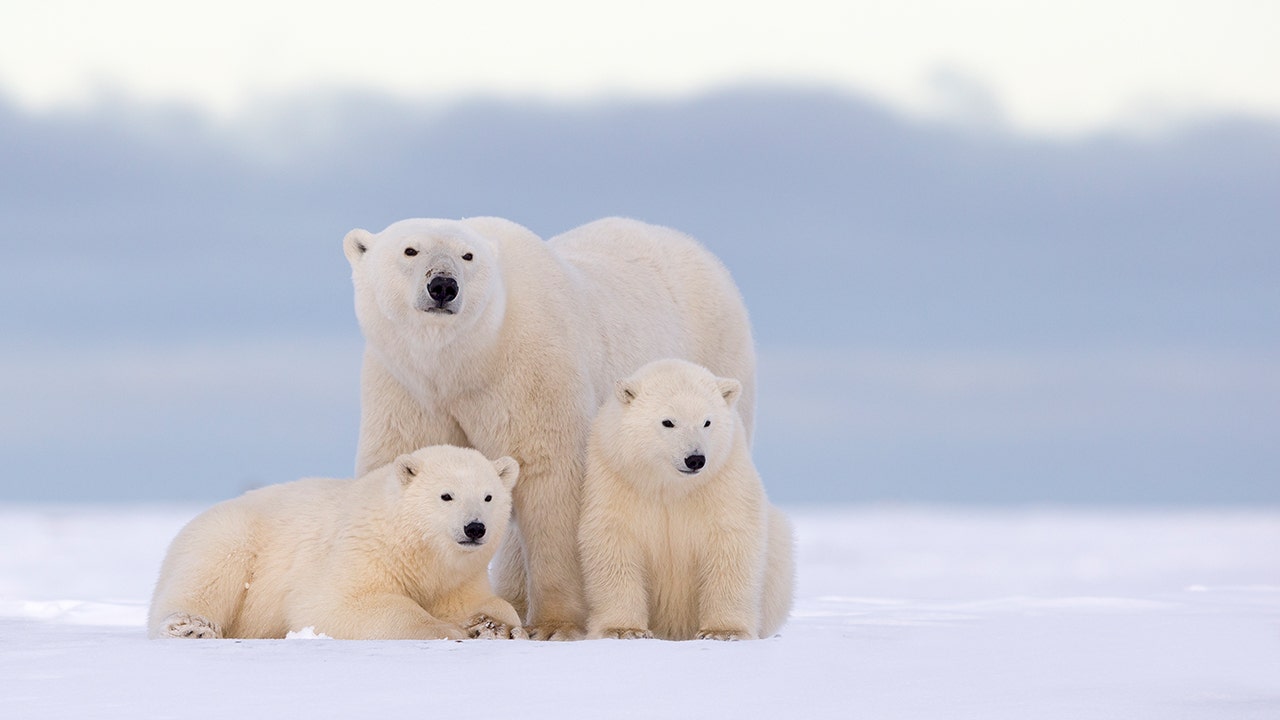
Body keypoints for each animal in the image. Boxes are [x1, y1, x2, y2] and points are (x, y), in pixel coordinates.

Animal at [148, 443, 524, 638]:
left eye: (488, 496)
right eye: (446, 495)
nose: (475, 528)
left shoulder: (457, 577)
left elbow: (479, 603)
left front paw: (492, 625)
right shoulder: (362, 550)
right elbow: (336, 603)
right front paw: (445, 630)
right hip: (228, 536)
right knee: (207, 575)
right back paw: (190, 626)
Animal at [345, 215, 752, 635]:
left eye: (467, 255)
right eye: (410, 250)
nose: (443, 285)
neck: (468, 360)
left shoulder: (533, 367)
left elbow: (551, 477)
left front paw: (556, 625)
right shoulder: (407, 386)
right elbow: (399, 458)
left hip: (716, 360)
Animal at [578, 358, 788, 638]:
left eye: (707, 422)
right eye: (668, 422)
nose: (695, 458)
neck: (671, 487)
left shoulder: (723, 479)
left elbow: (731, 540)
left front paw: (723, 632)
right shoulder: (616, 479)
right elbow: (613, 542)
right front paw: (624, 629)